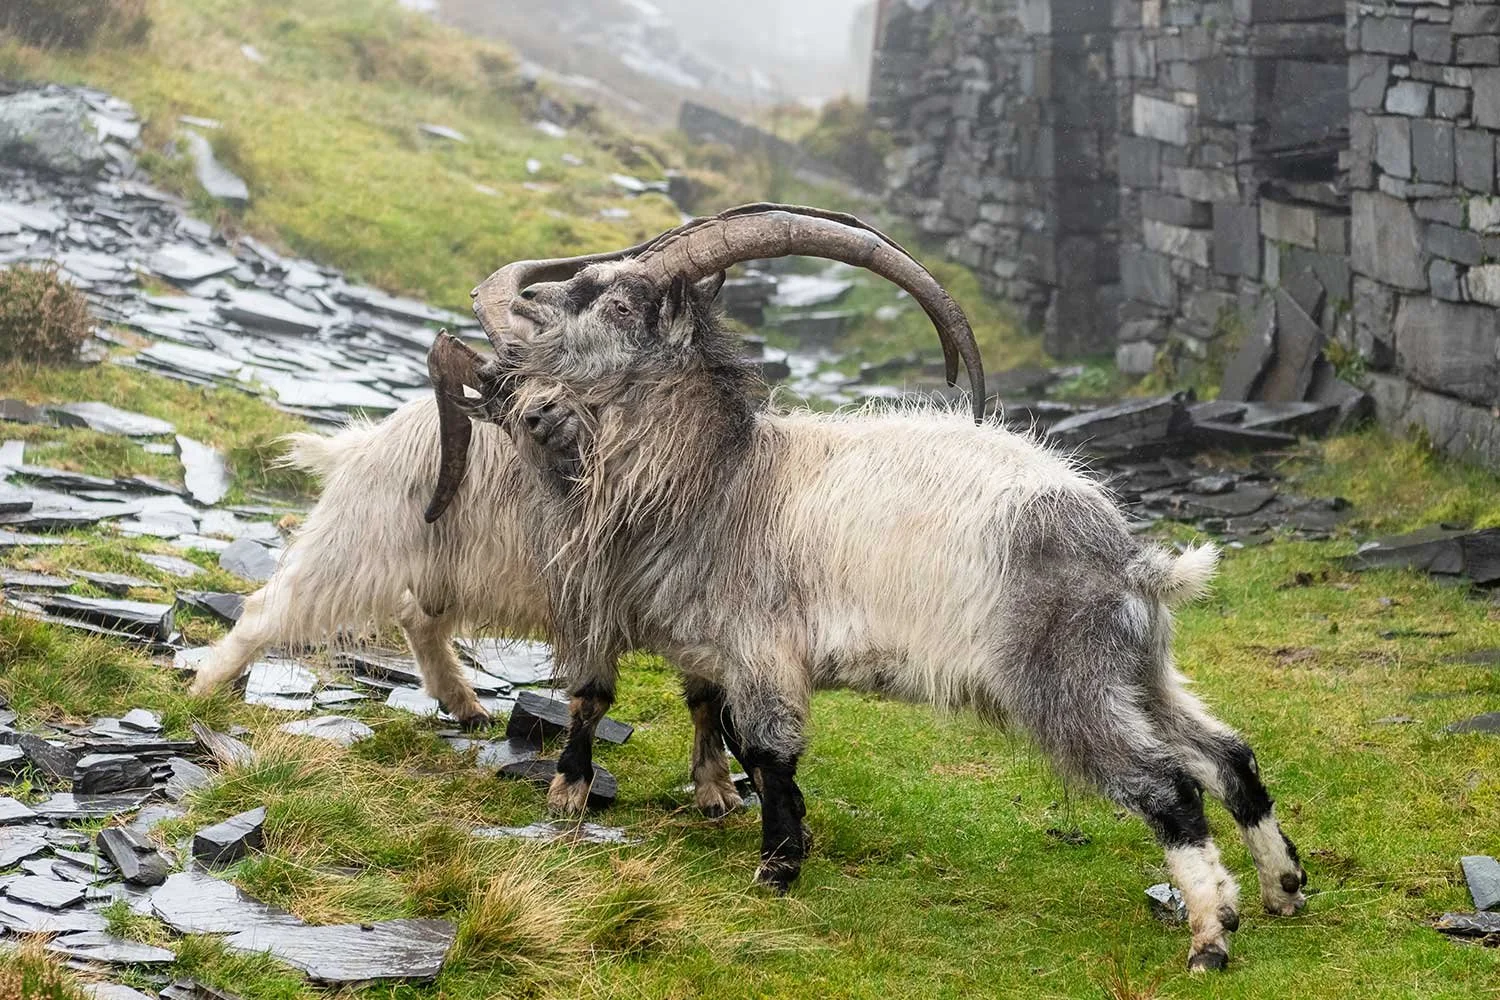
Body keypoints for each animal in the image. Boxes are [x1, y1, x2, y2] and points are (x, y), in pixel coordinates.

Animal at [185, 396, 748, 817]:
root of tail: (367, 440)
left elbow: (705, 701)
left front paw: (717, 791)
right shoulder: (594, 608)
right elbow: (595, 699)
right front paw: (570, 789)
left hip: (448, 571)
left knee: (418, 620)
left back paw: (463, 702)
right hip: (358, 547)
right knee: (268, 608)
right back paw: (204, 688)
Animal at [431, 204, 1307, 971]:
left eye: (616, 303)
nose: (521, 391)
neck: (725, 478)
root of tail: (1127, 559)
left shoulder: (764, 648)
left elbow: (770, 752)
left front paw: (776, 871)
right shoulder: (724, 655)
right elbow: (736, 740)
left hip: (1066, 681)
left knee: (1168, 785)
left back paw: (1211, 939)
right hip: (1139, 670)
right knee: (1225, 755)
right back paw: (1283, 890)